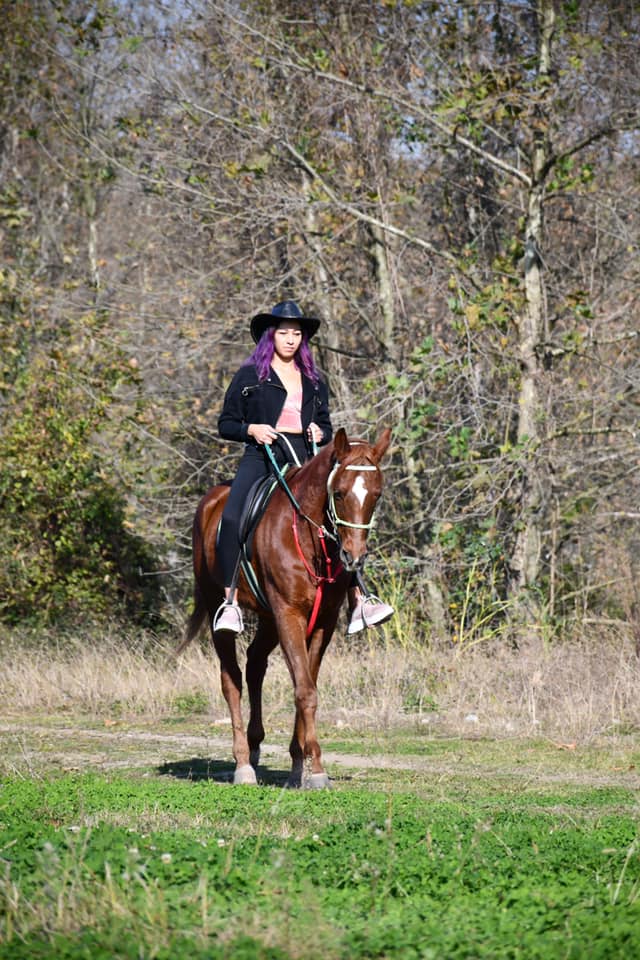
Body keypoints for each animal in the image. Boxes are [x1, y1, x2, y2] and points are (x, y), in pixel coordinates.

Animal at [178, 428, 392, 788]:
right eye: (339, 493)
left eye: (376, 495)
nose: (354, 557)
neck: (308, 537)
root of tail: (212, 500)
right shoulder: (289, 614)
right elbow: (305, 690)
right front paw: (316, 769)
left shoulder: (321, 621)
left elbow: (306, 683)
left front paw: (299, 763)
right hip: (219, 607)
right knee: (231, 679)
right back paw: (242, 764)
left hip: (268, 620)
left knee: (254, 664)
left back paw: (254, 747)